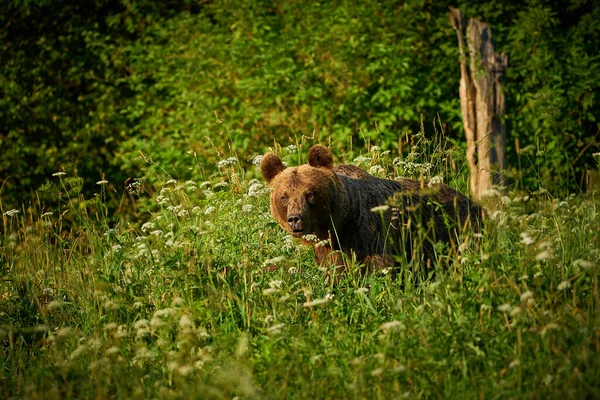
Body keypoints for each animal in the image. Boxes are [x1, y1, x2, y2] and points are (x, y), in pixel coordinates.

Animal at [262, 146, 482, 276]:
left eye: (310, 193)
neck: (341, 225)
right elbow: (334, 271)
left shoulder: (372, 234)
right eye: (284, 196)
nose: (295, 219)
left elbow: (380, 267)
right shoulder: (329, 247)